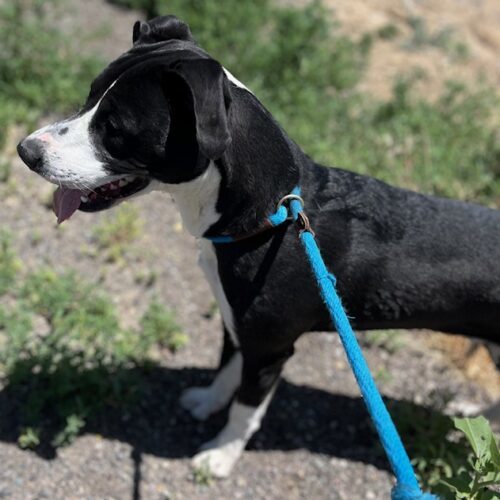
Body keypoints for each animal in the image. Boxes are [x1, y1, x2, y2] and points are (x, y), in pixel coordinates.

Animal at [17, 15, 498, 476]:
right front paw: (208, 401)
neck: (272, 215)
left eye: (115, 128)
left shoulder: (269, 348)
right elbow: (227, 369)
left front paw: (220, 457)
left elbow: (245, 408)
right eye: (89, 96)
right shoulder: (235, 319)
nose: (26, 151)